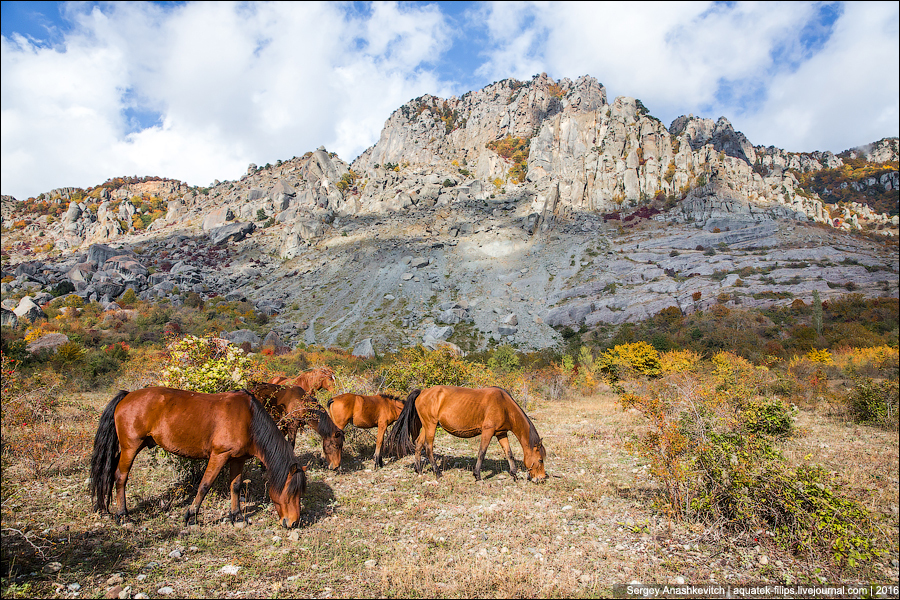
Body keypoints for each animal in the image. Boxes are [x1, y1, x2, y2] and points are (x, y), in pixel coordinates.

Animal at [91, 386, 308, 528]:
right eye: (291, 492)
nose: (293, 523)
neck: (249, 419)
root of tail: (127, 396)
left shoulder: (238, 459)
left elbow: (235, 486)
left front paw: (237, 516)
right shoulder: (219, 455)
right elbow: (205, 485)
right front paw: (191, 516)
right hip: (130, 447)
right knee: (120, 477)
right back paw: (123, 516)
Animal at [384, 384, 544, 482]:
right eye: (541, 460)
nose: (541, 478)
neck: (503, 405)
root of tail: (422, 392)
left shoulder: (501, 433)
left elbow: (509, 453)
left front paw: (514, 474)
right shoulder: (488, 431)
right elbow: (482, 452)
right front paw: (477, 475)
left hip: (426, 425)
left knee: (418, 445)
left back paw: (418, 470)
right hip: (431, 425)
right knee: (428, 447)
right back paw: (437, 472)